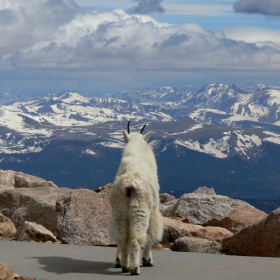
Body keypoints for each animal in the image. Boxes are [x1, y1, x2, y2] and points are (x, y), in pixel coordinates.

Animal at [108, 121, 163, 274]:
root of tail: (129, 183)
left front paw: (118, 260)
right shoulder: (153, 211)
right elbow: (150, 234)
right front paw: (148, 260)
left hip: (119, 211)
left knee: (122, 238)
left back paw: (124, 265)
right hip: (140, 211)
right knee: (135, 239)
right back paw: (134, 268)